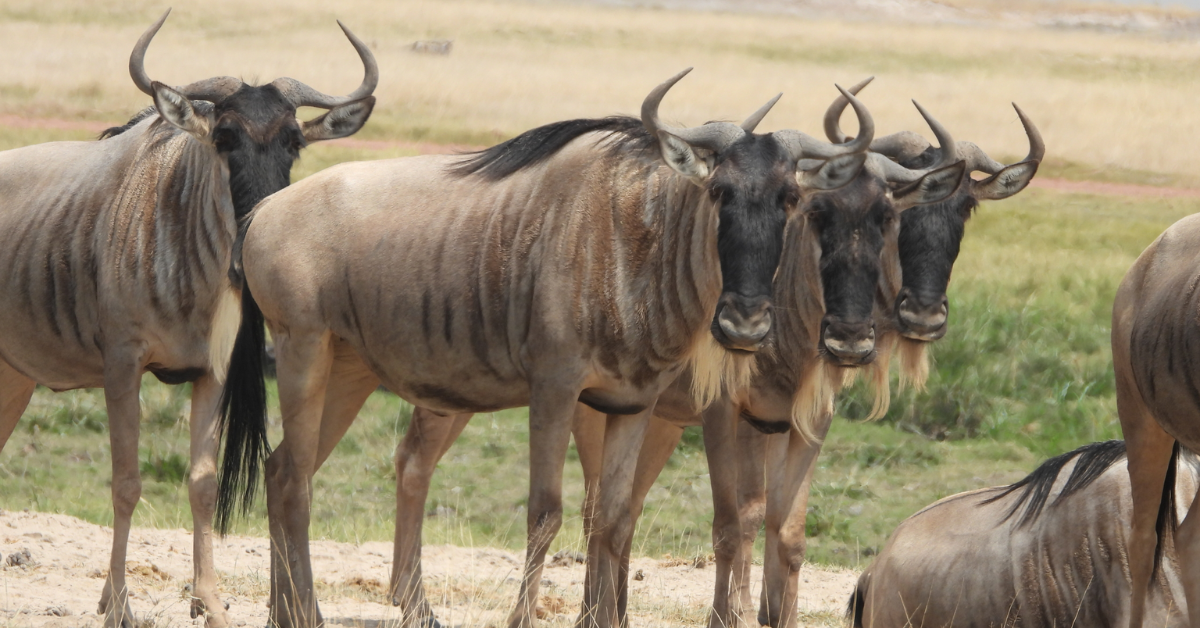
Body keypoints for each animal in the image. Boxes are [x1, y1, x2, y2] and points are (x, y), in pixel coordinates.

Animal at [0, 11, 375, 627]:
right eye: (224, 139)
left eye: (293, 143)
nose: (253, 246)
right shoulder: (122, 366)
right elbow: (126, 483)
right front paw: (118, 606)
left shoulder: (210, 375)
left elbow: (202, 484)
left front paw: (211, 602)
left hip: (13, 378)